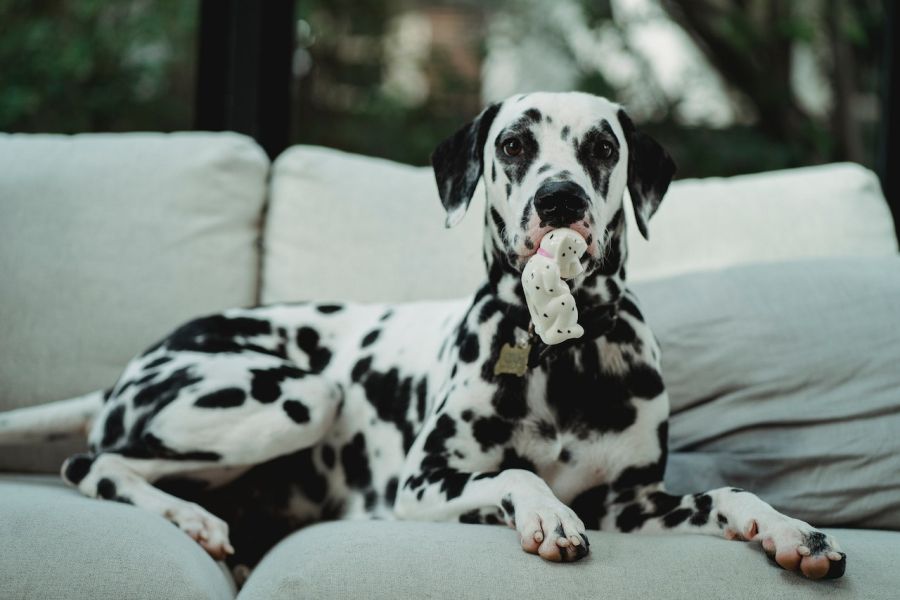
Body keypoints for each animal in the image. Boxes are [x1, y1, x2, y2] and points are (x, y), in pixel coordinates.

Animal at [0, 91, 844, 580]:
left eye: (602, 148)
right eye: (513, 145)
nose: (560, 199)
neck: (562, 352)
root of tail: (127, 371)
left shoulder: (632, 505)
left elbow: (728, 494)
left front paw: (790, 531)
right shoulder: (424, 486)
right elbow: (516, 476)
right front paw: (545, 513)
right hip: (299, 396)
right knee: (92, 462)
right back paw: (195, 520)